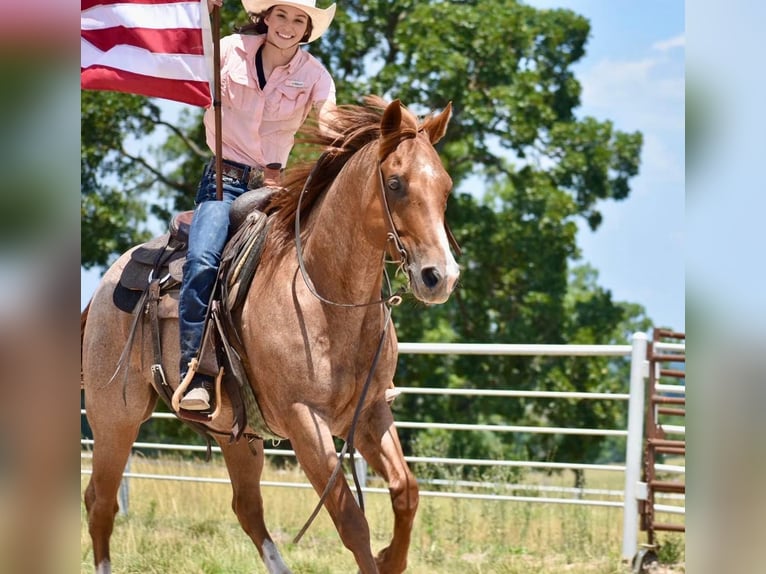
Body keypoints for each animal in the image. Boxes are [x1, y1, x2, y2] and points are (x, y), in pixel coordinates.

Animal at [81, 97, 460, 572]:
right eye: (395, 183)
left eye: (446, 187)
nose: (440, 276)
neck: (325, 299)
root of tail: (107, 282)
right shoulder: (305, 422)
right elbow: (351, 522)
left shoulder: (371, 412)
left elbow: (406, 492)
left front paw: (391, 556)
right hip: (115, 418)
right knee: (100, 502)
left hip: (235, 434)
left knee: (247, 508)